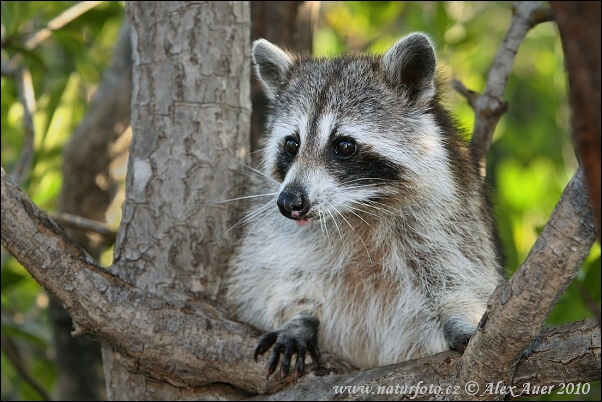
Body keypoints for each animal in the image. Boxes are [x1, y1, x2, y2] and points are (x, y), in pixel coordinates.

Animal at [223, 32, 504, 380]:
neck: (359, 209)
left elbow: (456, 280)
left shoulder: (449, 225)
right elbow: (268, 280)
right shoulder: (272, 232)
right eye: (292, 144)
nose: (290, 202)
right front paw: (298, 317)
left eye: (344, 146)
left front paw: (459, 319)